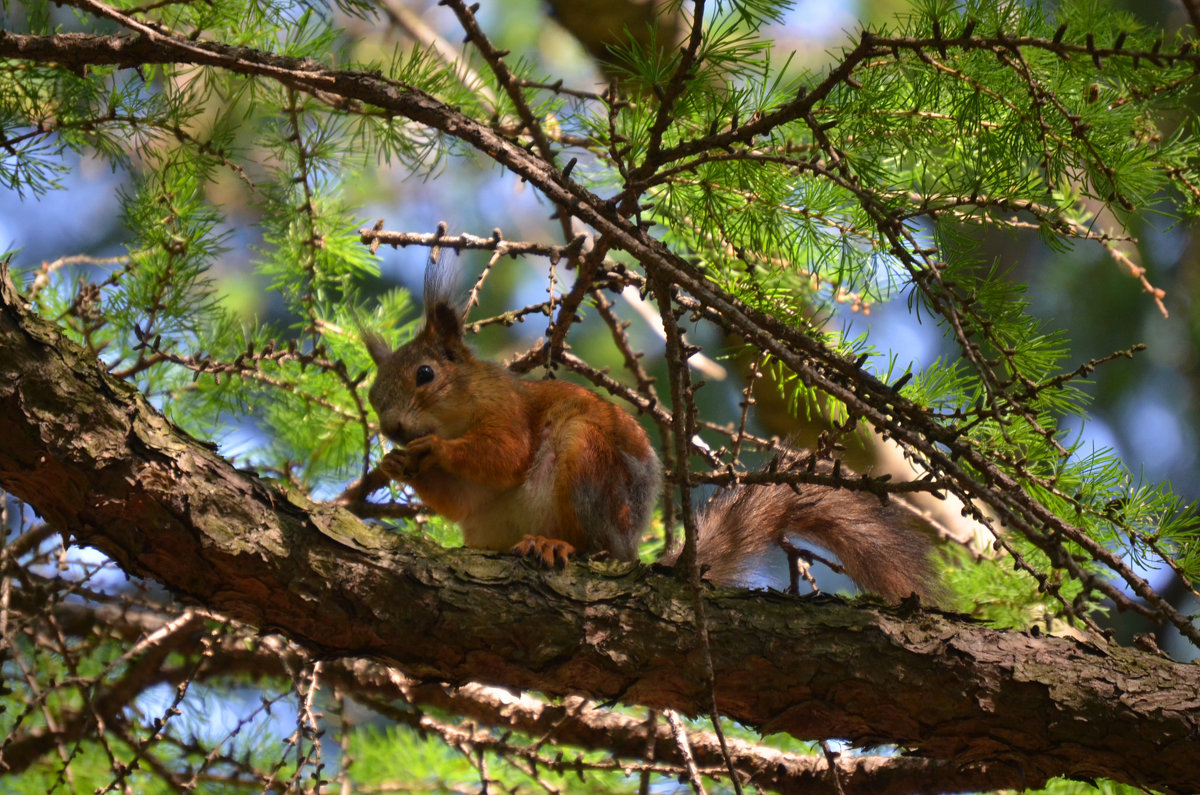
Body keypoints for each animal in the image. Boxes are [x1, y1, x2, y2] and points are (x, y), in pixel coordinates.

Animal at [360, 256, 940, 605]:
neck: (462, 406)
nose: (392, 429)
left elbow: (503, 455)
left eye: (425, 375)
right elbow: (458, 499)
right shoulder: (469, 495)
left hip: (586, 464)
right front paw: (396, 463)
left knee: (593, 546)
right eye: (371, 396)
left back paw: (556, 546)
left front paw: (433, 448)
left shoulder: (506, 411)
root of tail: (628, 547)